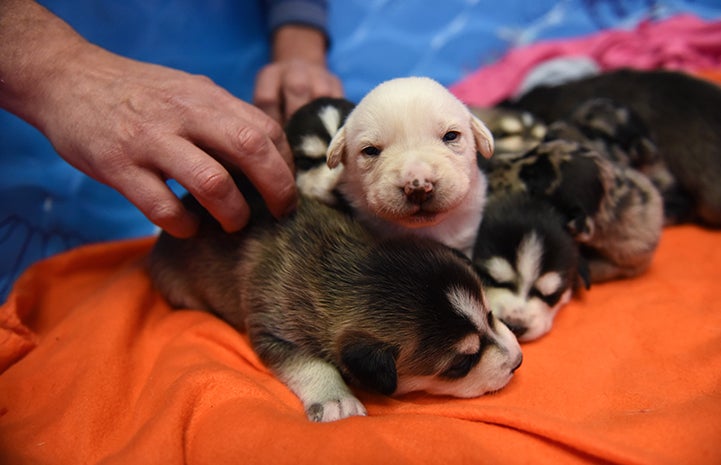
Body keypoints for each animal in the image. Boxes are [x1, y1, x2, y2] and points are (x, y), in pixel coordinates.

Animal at [148, 190, 516, 422]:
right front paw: (335, 400)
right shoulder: (271, 331)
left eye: (489, 315)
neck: (339, 271)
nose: (518, 363)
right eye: (461, 363)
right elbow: (312, 364)